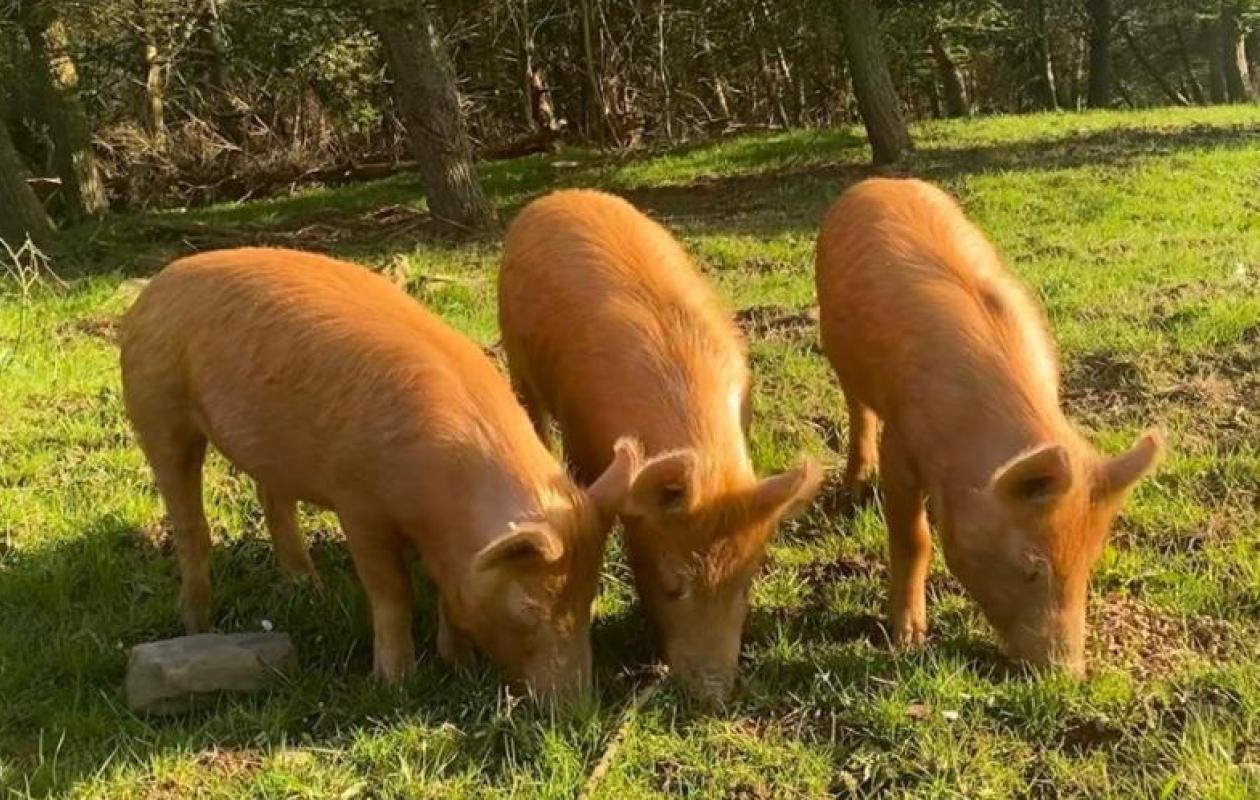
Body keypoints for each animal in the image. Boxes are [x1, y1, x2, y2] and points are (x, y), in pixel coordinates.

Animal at [119, 247, 644, 700]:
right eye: (529, 610)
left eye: (589, 596)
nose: (576, 706)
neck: (440, 496)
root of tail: (157, 284)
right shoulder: (358, 503)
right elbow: (391, 590)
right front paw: (397, 683)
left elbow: (447, 591)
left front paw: (459, 666)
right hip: (156, 403)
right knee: (189, 521)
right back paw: (198, 624)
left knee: (273, 499)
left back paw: (311, 593)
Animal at [499, 190, 823, 702]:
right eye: (672, 585)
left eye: (746, 583)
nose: (712, 695)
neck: (707, 459)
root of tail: (557, 196)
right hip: (515, 354)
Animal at [815, 178, 1163, 675]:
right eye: (1031, 565)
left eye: (1088, 563)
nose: (1068, 674)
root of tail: (877, 181)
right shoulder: (901, 439)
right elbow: (913, 537)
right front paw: (907, 640)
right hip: (835, 348)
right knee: (857, 409)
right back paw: (853, 492)